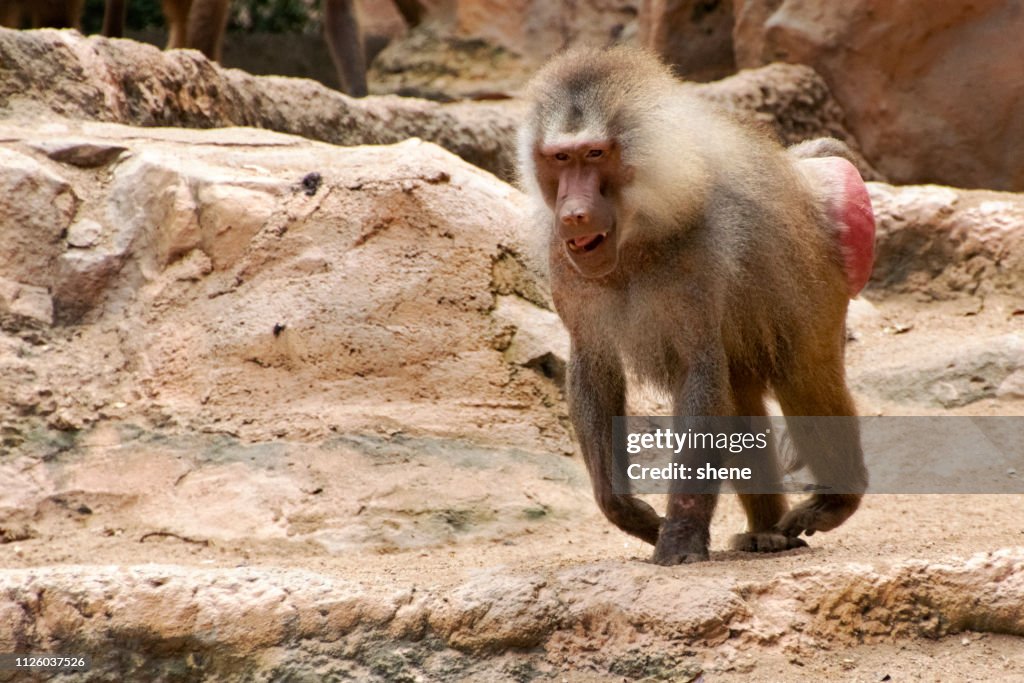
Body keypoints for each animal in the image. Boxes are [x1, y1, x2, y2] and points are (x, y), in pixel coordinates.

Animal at [518, 46, 873, 565]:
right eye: (560, 158)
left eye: (595, 154)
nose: (574, 214)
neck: (635, 240)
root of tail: (804, 179)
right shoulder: (566, 266)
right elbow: (594, 367)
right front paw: (633, 515)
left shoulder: (702, 252)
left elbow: (698, 369)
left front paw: (680, 537)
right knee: (742, 401)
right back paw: (766, 532)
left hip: (817, 280)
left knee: (804, 375)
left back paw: (835, 502)